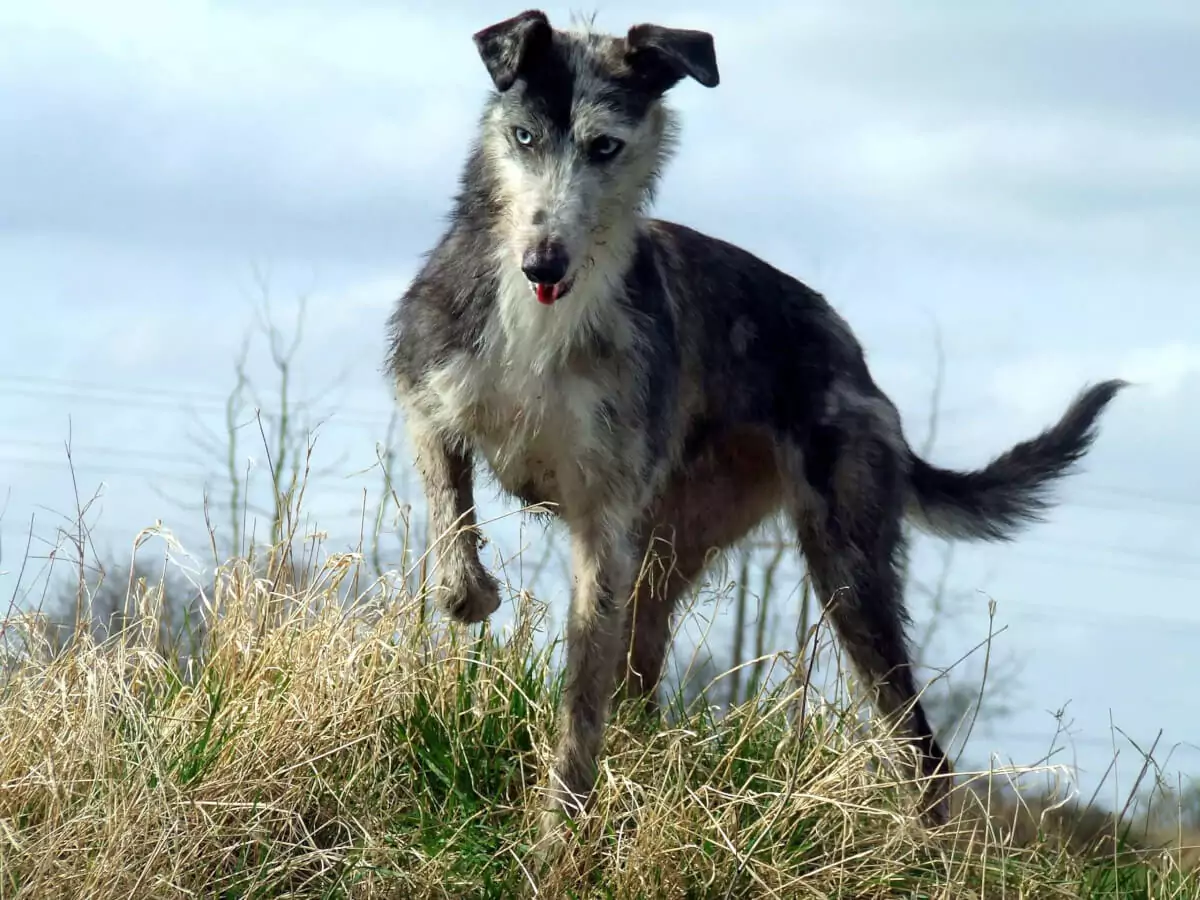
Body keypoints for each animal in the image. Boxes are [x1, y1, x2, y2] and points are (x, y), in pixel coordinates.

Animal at [384, 8, 1123, 840]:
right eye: (524, 136)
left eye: (605, 145)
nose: (543, 262)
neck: (541, 321)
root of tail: (859, 365)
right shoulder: (428, 394)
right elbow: (451, 524)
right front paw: (471, 592)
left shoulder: (604, 522)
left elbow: (581, 698)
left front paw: (560, 827)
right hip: (672, 558)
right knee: (641, 681)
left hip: (847, 575)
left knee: (921, 748)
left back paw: (924, 847)